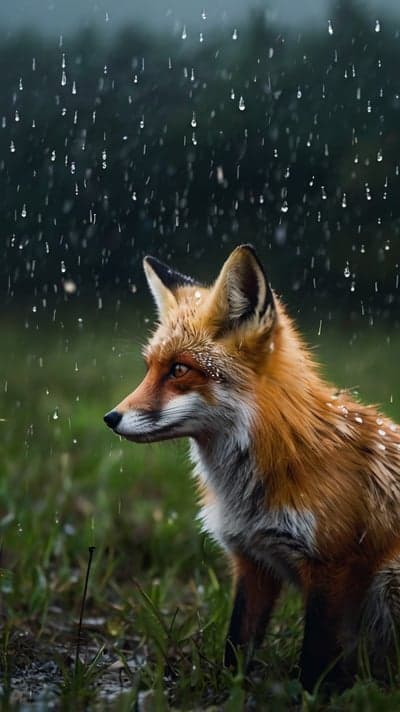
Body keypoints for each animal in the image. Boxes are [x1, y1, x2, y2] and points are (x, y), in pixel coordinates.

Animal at [104, 244, 400, 690]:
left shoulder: (331, 566)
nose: (111, 418)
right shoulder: (252, 559)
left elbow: (313, 658)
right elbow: (236, 644)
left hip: (388, 582)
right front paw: (229, 689)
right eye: (149, 368)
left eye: (179, 369)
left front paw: (309, 694)